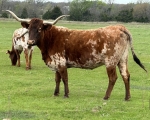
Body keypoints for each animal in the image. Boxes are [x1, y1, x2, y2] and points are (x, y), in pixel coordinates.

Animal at [5, 10, 146, 100]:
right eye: (29, 29)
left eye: (39, 29)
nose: (30, 42)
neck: (51, 38)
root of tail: (120, 27)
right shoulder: (56, 63)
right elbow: (57, 79)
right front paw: (56, 93)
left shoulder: (61, 62)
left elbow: (65, 78)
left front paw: (66, 94)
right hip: (122, 59)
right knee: (125, 75)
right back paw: (127, 97)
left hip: (110, 62)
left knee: (113, 78)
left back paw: (106, 96)